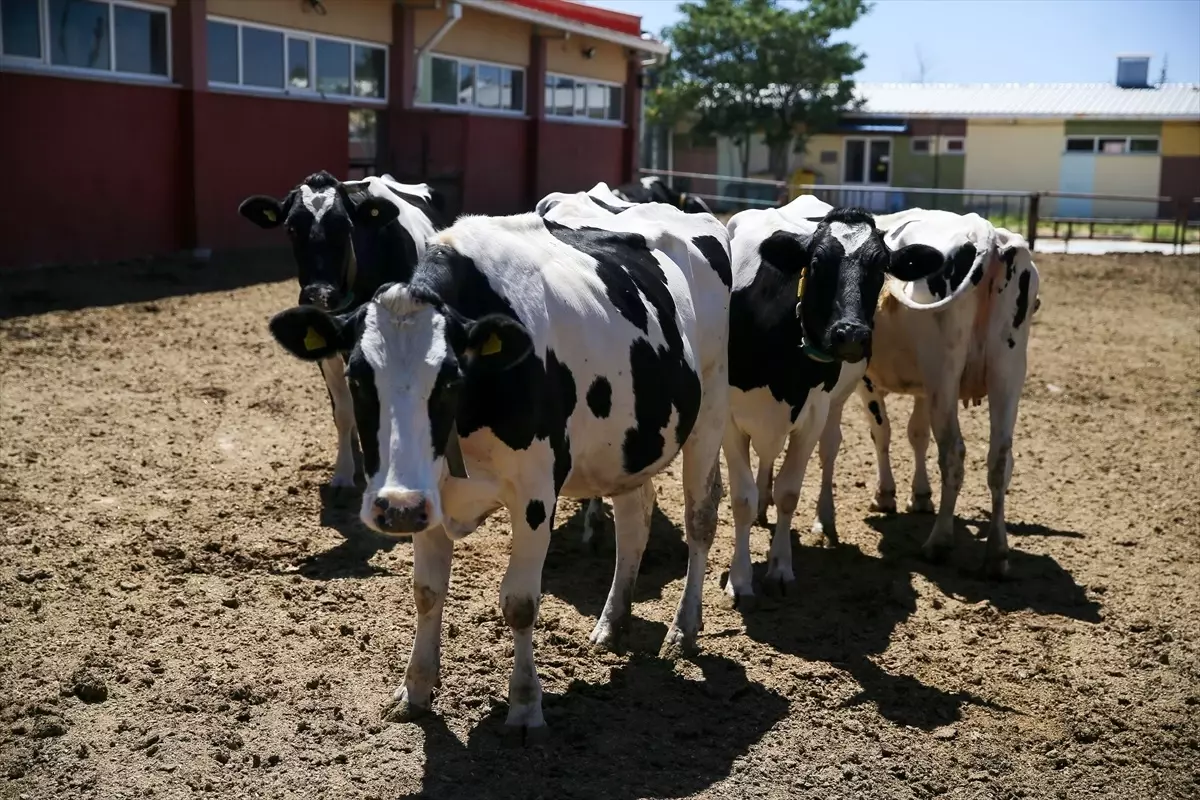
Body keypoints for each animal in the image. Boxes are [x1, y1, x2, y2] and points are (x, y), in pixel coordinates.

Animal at [238, 172, 446, 501]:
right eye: (291, 228)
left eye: (346, 227)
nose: (319, 294)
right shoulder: (327, 348)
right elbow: (345, 412)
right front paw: (344, 474)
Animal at [265, 200, 729, 738]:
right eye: (358, 378)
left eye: (450, 379)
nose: (394, 508)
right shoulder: (429, 495)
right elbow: (427, 592)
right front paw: (415, 689)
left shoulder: (534, 493)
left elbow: (520, 603)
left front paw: (526, 705)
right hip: (626, 446)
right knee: (636, 517)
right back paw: (612, 623)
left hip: (710, 412)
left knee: (700, 519)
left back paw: (683, 629)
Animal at [720, 196, 945, 604]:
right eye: (817, 262)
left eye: (881, 267)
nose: (851, 334)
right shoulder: (730, 419)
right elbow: (741, 498)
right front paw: (740, 579)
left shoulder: (812, 414)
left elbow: (790, 492)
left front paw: (780, 569)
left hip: (835, 405)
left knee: (828, 450)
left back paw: (822, 519)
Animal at [801, 209, 1046, 578]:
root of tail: (985, 232)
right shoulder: (923, 390)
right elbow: (917, 435)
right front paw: (919, 495)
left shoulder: (868, 381)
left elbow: (882, 433)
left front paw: (886, 493)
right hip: (1007, 373)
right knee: (1000, 459)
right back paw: (996, 553)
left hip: (945, 376)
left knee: (953, 454)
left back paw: (939, 542)